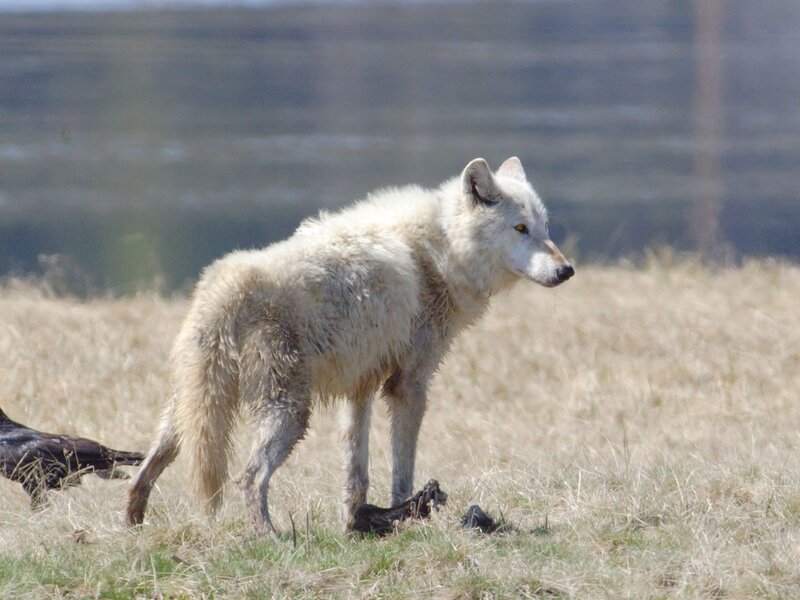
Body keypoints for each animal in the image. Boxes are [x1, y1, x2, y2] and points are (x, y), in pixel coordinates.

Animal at [126, 157, 574, 534]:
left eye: (545, 228)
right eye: (520, 229)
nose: (566, 270)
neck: (441, 249)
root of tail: (225, 288)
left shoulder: (361, 387)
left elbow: (356, 473)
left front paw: (356, 524)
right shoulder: (408, 386)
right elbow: (402, 470)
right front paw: (410, 517)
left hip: (189, 416)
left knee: (147, 468)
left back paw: (133, 526)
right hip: (290, 414)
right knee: (249, 478)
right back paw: (271, 539)